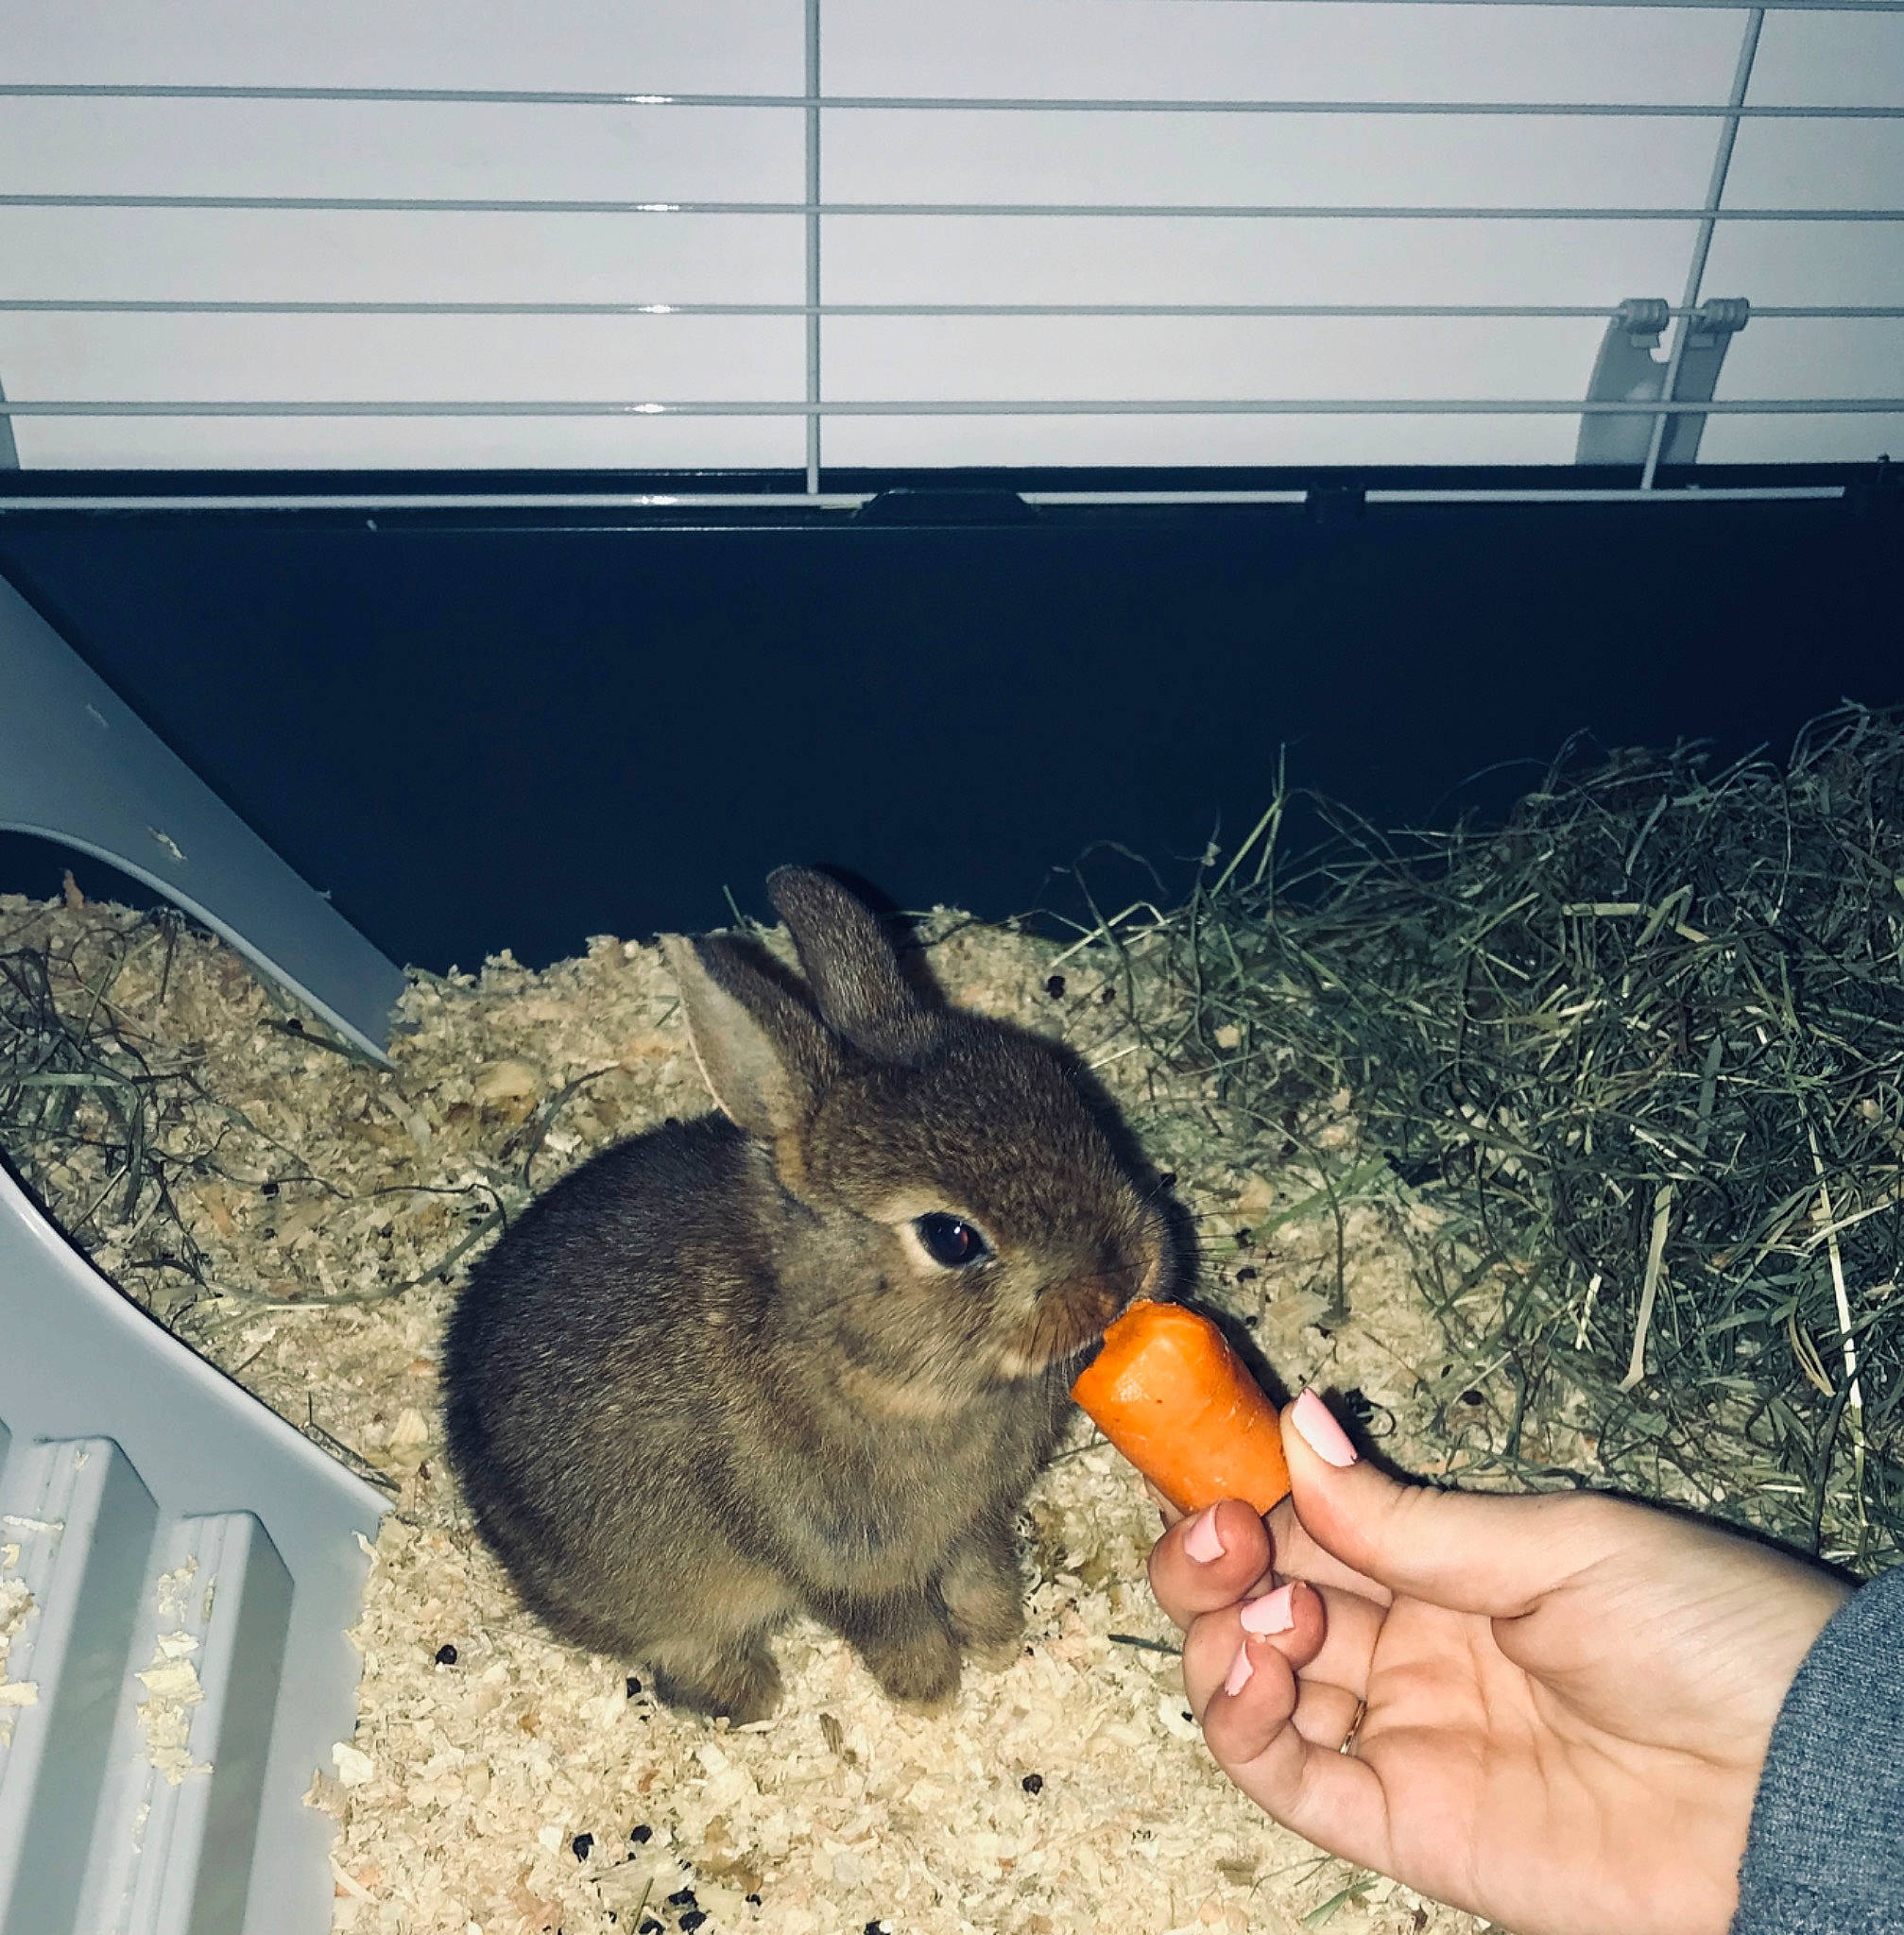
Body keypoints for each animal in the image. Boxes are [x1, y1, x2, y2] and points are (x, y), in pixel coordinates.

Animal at [442, 865, 1175, 1723]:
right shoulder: (841, 1563)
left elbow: (982, 1585)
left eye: (1057, 1087)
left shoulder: (973, 1525)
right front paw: (932, 1700)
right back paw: (753, 1697)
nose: (1130, 1273)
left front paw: (999, 1650)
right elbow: (897, 1628)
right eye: (950, 1238)